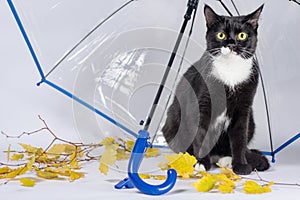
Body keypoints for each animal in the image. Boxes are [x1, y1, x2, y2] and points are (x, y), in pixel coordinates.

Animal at [162, 3, 270, 174]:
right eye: (220, 35)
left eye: (242, 36)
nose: (231, 44)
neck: (230, 70)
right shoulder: (202, 104)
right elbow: (201, 135)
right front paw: (201, 163)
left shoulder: (244, 108)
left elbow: (239, 139)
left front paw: (241, 165)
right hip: (172, 119)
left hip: (251, 120)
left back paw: (227, 160)